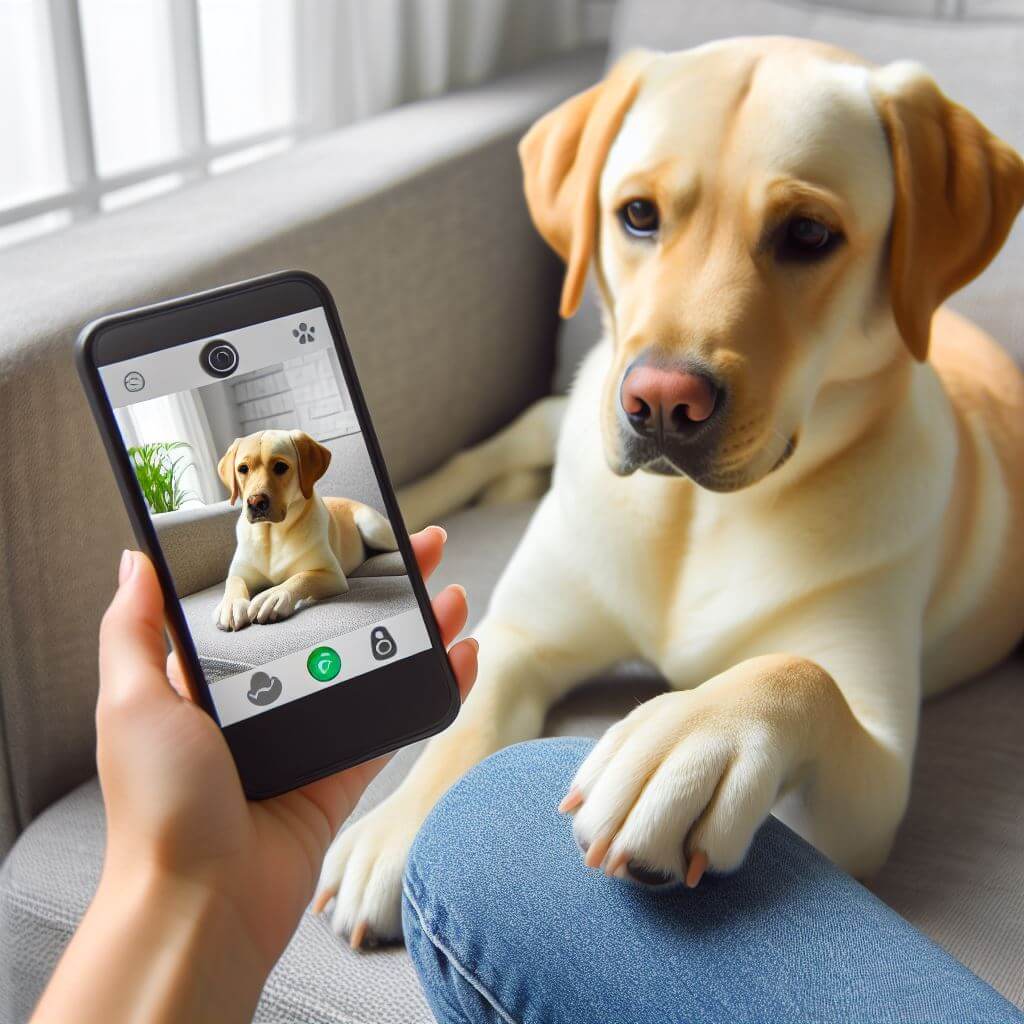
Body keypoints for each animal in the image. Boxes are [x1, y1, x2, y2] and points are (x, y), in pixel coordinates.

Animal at [212, 428, 395, 626]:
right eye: (243, 469)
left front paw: (274, 595)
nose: (255, 502)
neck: (271, 534)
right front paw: (231, 604)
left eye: (280, 467)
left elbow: (302, 576)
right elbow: (233, 583)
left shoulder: (332, 574)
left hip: (372, 528)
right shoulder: (240, 573)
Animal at [315, 39, 1019, 950]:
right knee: (493, 446)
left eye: (809, 233)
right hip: (560, 413)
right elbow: (464, 719)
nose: (661, 401)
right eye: (638, 215)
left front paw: (692, 738)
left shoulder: (873, 789)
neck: (698, 516)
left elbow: (798, 671)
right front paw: (397, 825)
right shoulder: (521, 636)